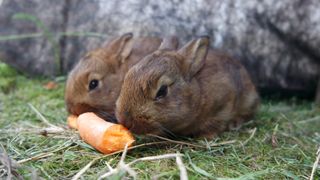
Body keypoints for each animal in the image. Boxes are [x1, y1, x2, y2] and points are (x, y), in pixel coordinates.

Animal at [116, 36, 258, 138]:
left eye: (162, 91)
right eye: (127, 76)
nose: (125, 121)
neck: (197, 92)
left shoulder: (224, 103)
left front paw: (206, 137)